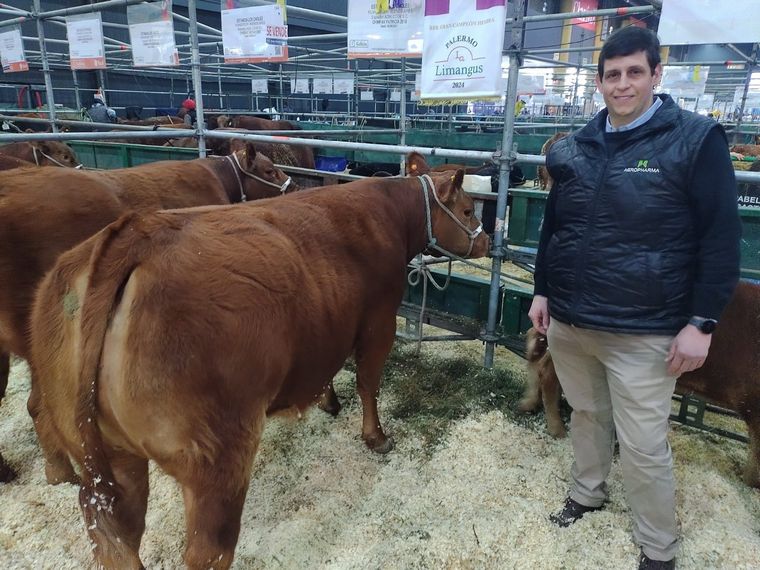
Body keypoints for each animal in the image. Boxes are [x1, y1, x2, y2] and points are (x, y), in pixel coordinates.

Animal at [28, 153, 486, 564]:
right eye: (467, 209)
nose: (483, 239)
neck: (388, 212)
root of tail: (135, 234)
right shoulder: (379, 319)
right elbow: (368, 382)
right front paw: (376, 437)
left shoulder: (328, 323)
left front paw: (327, 401)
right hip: (215, 457)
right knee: (207, 550)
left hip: (108, 460)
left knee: (115, 536)